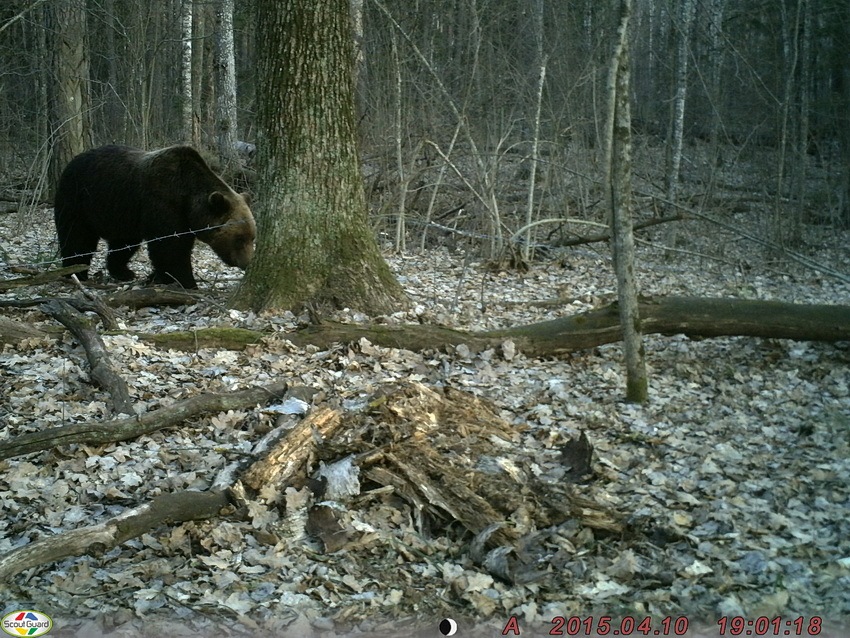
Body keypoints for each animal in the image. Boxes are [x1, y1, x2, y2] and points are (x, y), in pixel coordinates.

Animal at [53, 145, 255, 290]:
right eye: (239, 239)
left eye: (252, 237)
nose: (247, 263)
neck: (188, 199)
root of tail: (72, 162)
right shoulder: (163, 203)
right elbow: (170, 249)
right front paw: (187, 281)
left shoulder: (182, 219)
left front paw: (156, 277)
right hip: (78, 200)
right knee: (76, 238)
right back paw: (76, 273)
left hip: (123, 214)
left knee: (124, 244)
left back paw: (124, 272)